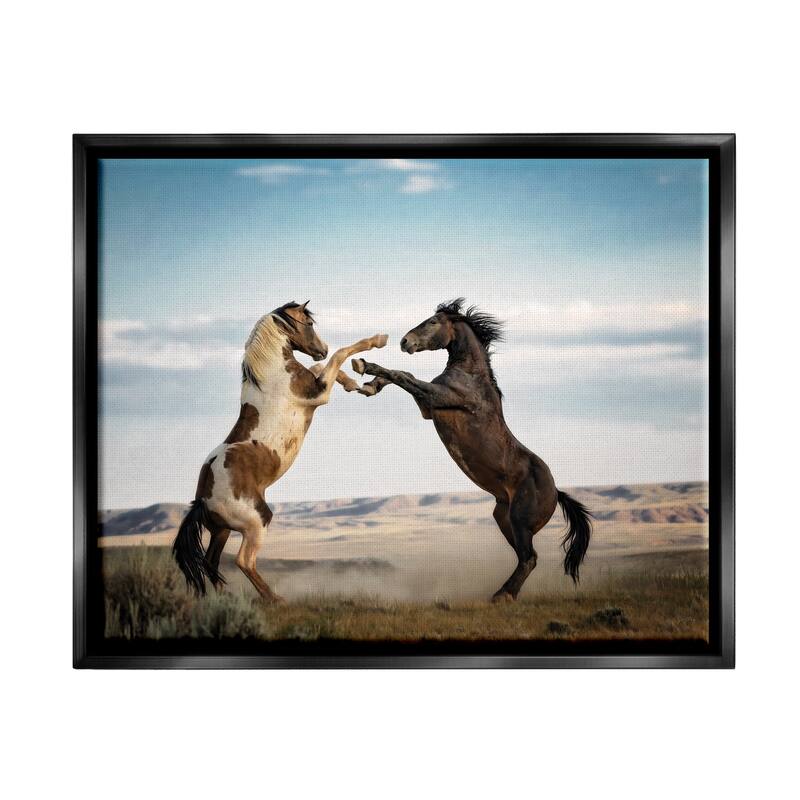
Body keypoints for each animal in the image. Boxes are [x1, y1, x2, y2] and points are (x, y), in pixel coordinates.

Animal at [173, 301, 387, 601]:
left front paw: (355, 384)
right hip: (256, 521)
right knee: (243, 560)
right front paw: (378, 340)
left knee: (212, 563)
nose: (322, 347)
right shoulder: (319, 394)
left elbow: (323, 364)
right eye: (309, 324)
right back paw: (274, 599)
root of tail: (202, 500)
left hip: (222, 530)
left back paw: (228, 599)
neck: (273, 375)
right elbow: (340, 354)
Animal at [352, 298, 592, 601]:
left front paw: (364, 365)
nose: (405, 342)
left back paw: (501, 596)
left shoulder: (437, 397)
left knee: (529, 558)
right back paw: (503, 593)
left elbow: (403, 375)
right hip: (504, 518)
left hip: (520, 520)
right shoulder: (428, 408)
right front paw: (370, 386)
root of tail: (556, 492)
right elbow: (405, 375)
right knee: (524, 557)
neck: (470, 375)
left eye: (433, 322)